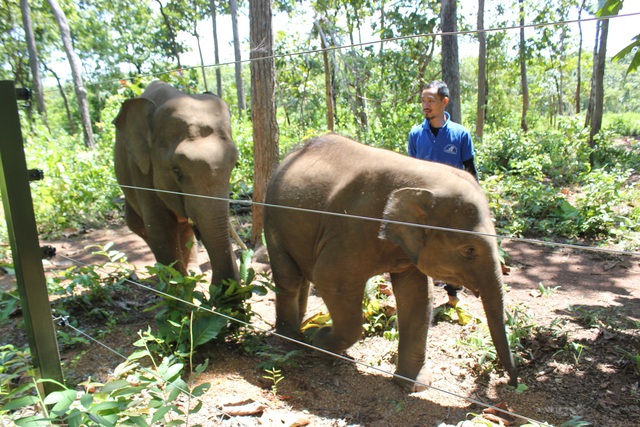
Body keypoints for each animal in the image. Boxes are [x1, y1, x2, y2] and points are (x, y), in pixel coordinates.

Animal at [262, 133, 516, 392]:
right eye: (469, 250)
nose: (512, 383)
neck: (421, 181)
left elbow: (418, 295)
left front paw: (415, 385)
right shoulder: (351, 229)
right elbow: (330, 279)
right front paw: (321, 341)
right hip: (271, 217)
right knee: (288, 277)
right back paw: (292, 339)